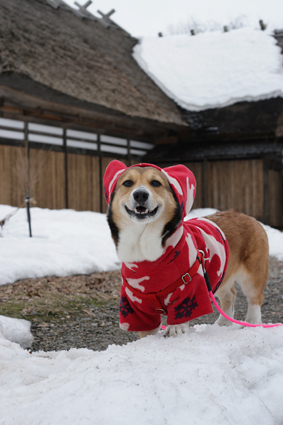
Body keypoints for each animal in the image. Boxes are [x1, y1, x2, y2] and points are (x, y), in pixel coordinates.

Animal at [103, 161, 270, 336]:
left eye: (155, 183)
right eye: (128, 183)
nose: (140, 194)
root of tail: (244, 214)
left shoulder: (190, 288)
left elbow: (181, 313)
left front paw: (175, 329)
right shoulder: (135, 304)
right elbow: (147, 330)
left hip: (252, 275)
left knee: (255, 298)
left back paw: (251, 322)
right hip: (217, 276)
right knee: (230, 294)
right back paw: (222, 323)